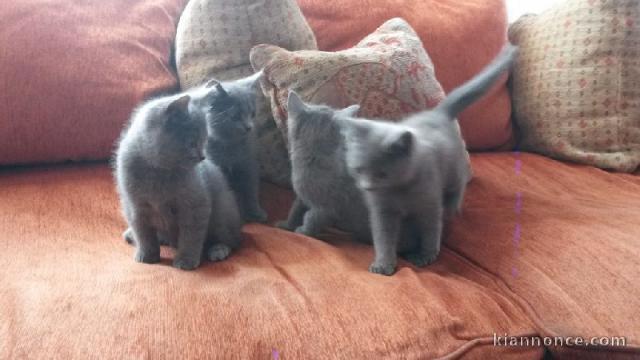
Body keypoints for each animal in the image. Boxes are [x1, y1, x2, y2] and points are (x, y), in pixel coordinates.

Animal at [115, 93, 242, 270]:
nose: (202, 157)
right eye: (192, 142)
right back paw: (133, 235)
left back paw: (218, 250)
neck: (158, 171)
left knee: (231, 240)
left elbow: (191, 236)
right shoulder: (134, 206)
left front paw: (186, 260)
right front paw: (147, 255)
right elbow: (143, 233)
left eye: (204, 141)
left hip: (222, 211)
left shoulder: (195, 206)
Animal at [191, 71, 268, 224]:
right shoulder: (217, 166)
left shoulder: (249, 165)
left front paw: (257, 212)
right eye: (236, 116)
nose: (249, 127)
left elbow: (251, 190)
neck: (230, 145)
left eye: (252, 113)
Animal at [278, 93, 420, 255]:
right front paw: (287, 225)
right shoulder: (301, 197)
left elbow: (312, 219)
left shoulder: (326, 209)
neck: (317, 157)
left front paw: (304, 232)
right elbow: (295, 209)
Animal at [340, 45, 520, 276]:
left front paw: (425, 256)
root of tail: (438, 113)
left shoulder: (429, 204)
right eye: (358, 170)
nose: (366, 187)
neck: (399, 191)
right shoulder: (382, 211)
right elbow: (383, 238)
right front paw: (383, 264)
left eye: (382, 174)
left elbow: (430, 230)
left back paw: (452, 209)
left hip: (453, 170)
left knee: (457, 186)